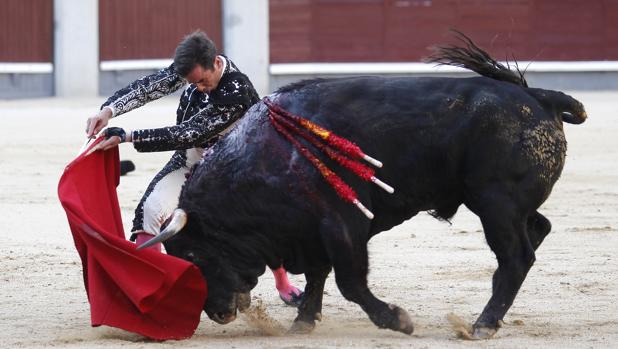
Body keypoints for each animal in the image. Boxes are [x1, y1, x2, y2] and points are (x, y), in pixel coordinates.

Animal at [144, 42, 584, 338]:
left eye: (193, 255)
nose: (217, 313)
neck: (264, 158)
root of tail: (538, 96)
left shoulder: (342, 223)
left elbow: (349, 281)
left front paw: (397, 320)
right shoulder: (311, 231)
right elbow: (319, 274)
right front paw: (303, 321)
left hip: (496, 203)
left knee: (515, 257)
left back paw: (483, 324)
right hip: (504, 205)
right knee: (537, 231)